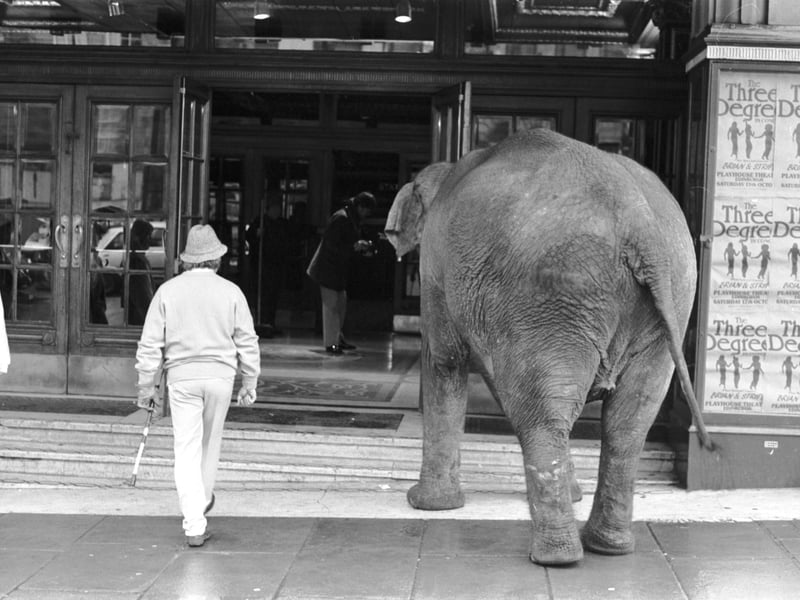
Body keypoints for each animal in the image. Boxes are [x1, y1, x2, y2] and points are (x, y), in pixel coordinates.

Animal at [384, 128, 714, 566]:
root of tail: (639, 222)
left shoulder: (437, 271)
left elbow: (445, 360)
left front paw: (426, 505)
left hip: (551, 293)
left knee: (543, 414)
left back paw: (556, 557)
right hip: (671, 293)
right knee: (628, 421)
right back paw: (608, 547)